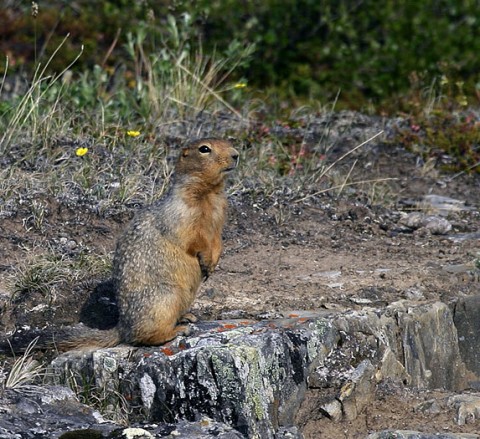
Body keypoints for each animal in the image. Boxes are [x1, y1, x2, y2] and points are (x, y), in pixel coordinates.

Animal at [55, 138, 238, 350]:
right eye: (204, 149)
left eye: (228, 142)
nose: (236, 154)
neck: (210, 193)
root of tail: (122, 327)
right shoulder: (183, 214)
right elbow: (194, 239)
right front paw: (207, 261)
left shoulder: (218, 219)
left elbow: (217, 240)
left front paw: (213, 262)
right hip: (165, 297)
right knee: (142, 336)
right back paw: (177, 330)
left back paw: (187, 317)